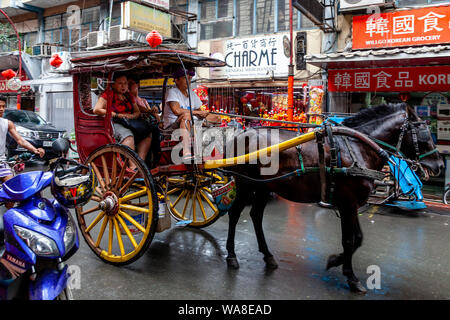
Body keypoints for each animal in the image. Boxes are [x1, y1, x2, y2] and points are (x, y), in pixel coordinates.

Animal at [221, 104, 442, 294]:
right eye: (424, 132)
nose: (440, 165)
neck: (358, 147)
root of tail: (242, 134)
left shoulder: (351, 203)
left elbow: (358, 238)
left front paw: (335, 260)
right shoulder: (347, 203)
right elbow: (349, 240)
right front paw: (351, 277)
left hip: (264, 187)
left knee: (256, 215)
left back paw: (268, 256)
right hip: (245, 184)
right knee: (235, 214)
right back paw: (231, 256)